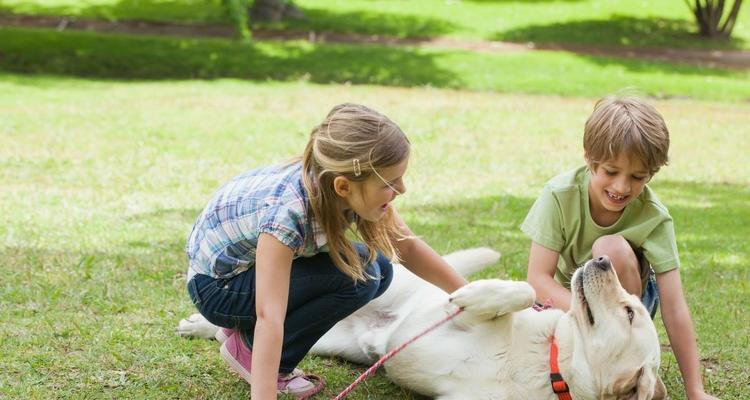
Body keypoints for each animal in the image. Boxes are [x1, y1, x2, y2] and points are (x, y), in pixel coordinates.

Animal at [179, 248, 668, 398]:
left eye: (630, 312)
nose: (603, 259)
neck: (550, 363)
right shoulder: (447, 316)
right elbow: (524, 293)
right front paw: (476, 294)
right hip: (380, 282)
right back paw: (196, 324)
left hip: (333, 342)